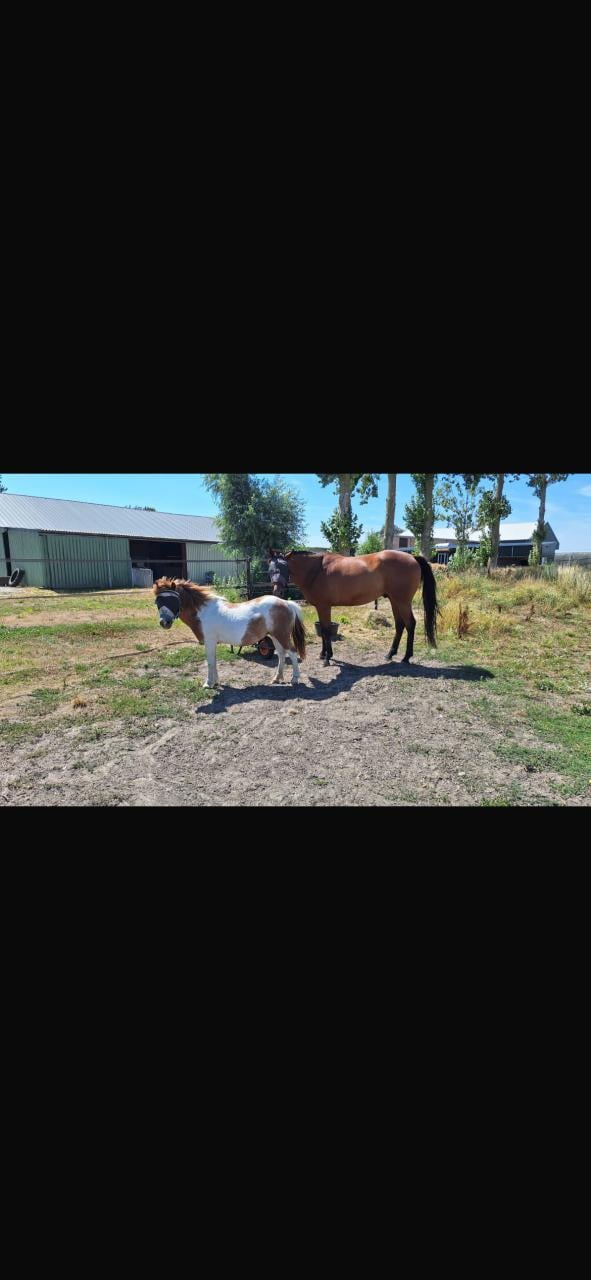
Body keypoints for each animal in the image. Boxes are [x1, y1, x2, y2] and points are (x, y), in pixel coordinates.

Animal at [153, 578, 306, 688]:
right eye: (158, 601)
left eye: (172, 599)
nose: (164, 622)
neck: (203, 611)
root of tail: (287, 603)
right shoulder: (212, 643)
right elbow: (214, 661)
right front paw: (216, 682)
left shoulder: (209, 641)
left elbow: (210, 662)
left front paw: (208, 684)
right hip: (275, 636)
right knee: (281, 654)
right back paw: (276, 679)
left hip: (282, 635)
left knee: (292, 652)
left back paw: (294, 679)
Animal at [284, 549, 440, 666]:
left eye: (281, 567)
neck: (316, 569)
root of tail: (412, 557)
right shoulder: (320, 607)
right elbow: (322, 629)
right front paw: (323, 654)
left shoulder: (324, 606)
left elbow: (327, 631)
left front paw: (327, 658)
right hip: (395, 601)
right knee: (400, 625)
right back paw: (390, 654)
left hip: (403, 602)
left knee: (410, 624)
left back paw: (406, 657)